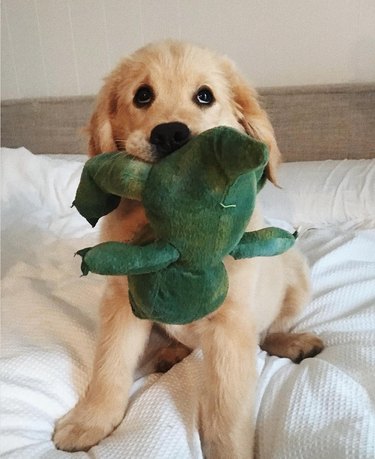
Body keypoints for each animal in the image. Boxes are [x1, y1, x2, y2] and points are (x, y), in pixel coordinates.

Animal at [52, 41, 324, 458]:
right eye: (142, 95)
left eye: (204, 96)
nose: (170, 134)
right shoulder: (121, 301)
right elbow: (108, 367)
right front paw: (90, 420)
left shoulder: (230, 327)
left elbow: (226, 414)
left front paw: (230, 452)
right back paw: (168, 353)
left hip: (294, 273)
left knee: (269, 332)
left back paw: (293, 342)